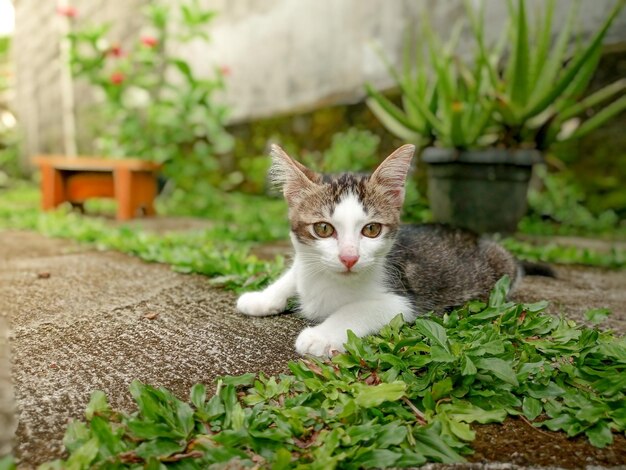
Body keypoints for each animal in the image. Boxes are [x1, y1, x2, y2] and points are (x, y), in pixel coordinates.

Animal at [236, 144, 520, 356]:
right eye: (323, 229)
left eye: (371, 229)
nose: (349, 258)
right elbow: (294, 272)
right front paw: (262, 298)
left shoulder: (403, 301)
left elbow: (358, 309)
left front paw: (320, 336)